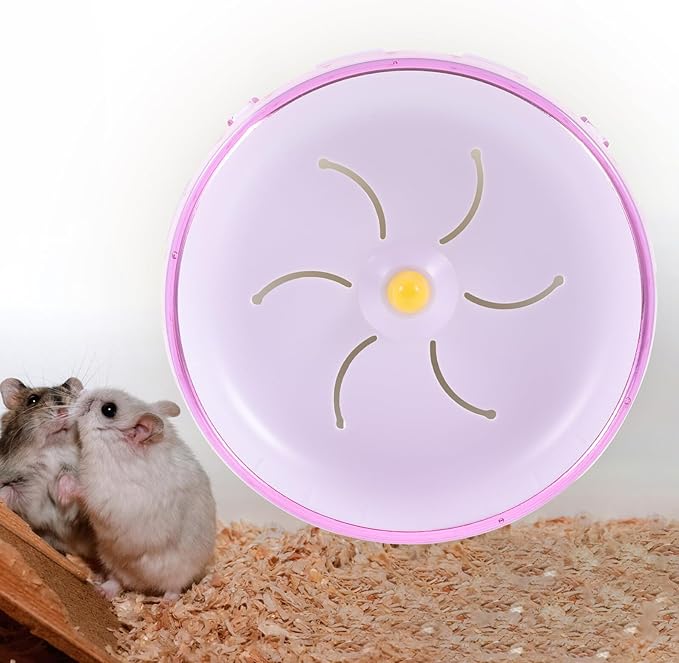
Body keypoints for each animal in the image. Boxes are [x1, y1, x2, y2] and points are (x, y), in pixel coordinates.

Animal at [0, 377, 96, 560]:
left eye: (71, 395)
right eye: (32, 400)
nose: (63, 411)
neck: (53, 450)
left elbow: (69, 478)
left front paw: (62, 495)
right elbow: (9, 491)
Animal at [60, 388, 217, 600]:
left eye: (108, 409)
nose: (83, 391)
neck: (114, 450)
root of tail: (143, 585)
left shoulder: (104, 494)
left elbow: (82, 490)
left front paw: (62, 490)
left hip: (180, 570)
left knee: (174, 588)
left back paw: (166, 603)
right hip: (111, 559)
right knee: (117, 581)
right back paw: (101, 589)